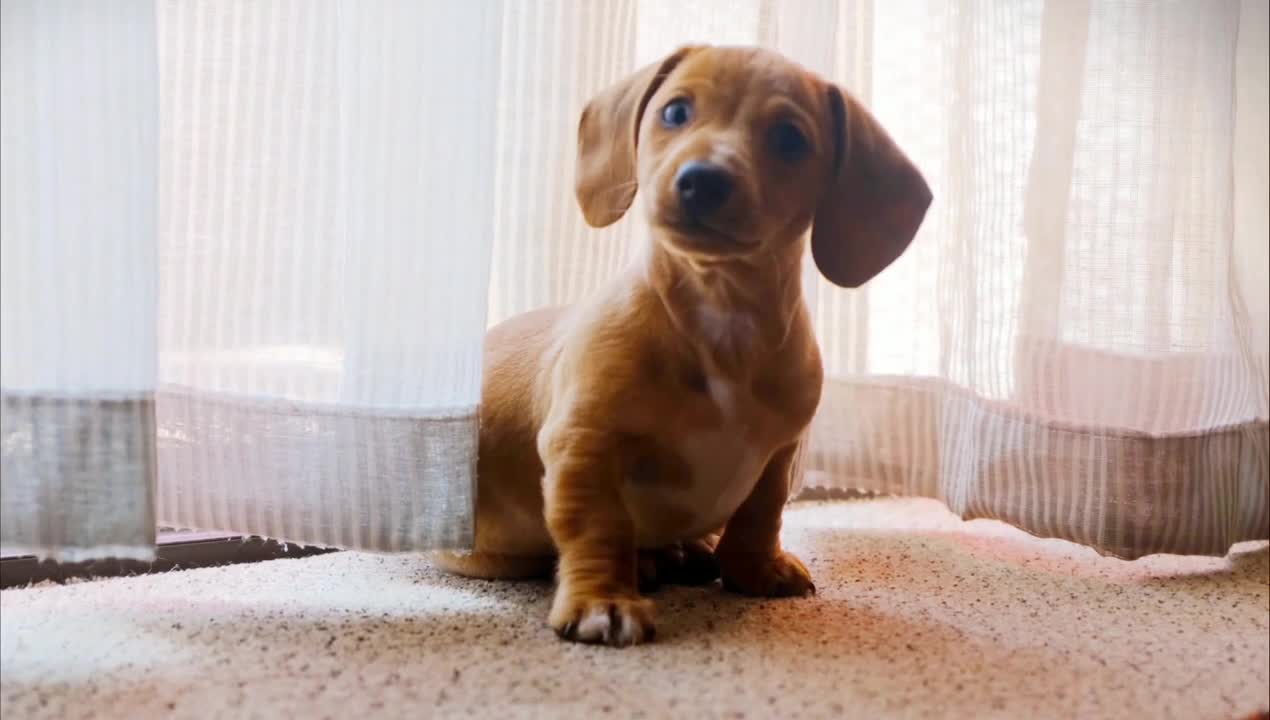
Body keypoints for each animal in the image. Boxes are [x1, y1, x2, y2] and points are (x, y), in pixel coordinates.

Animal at [436, 45, 934, 647]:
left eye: (790, 138)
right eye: (675, 111)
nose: (703, 180)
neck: (722, 318)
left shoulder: (781, 455)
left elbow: (760, 515)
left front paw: (754, 569)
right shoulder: (584, 443)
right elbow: (597, 525)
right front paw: (602, 600)